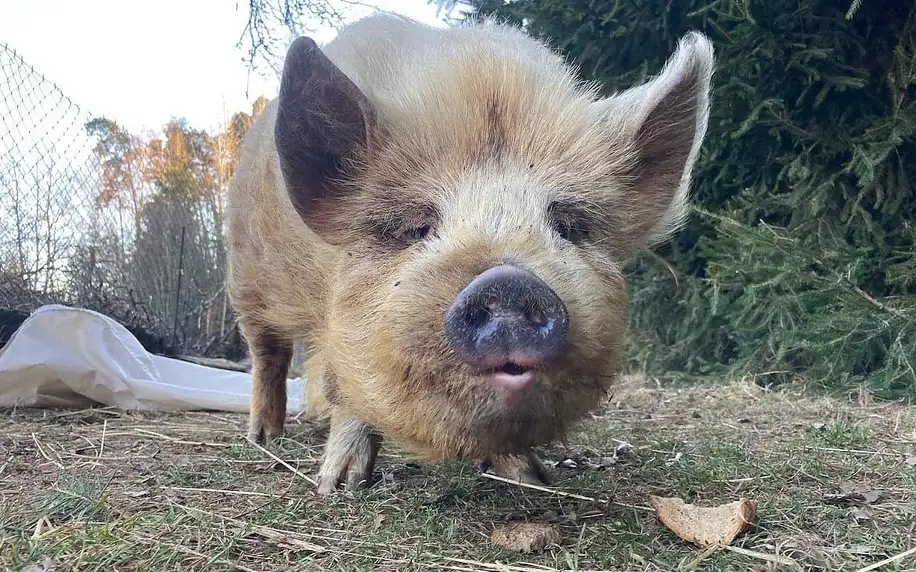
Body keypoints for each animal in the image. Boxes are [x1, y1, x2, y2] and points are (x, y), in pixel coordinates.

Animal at [225, 11, 712, 494]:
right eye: (415, 228)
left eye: (569, 227)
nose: (509, 283)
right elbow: (346, 390)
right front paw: (339, 486)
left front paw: (533, 478)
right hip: (247, 279)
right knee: (268, 355)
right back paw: (264, 437)